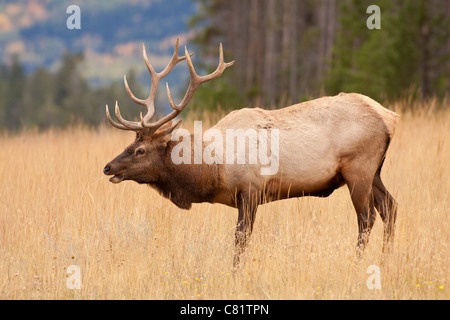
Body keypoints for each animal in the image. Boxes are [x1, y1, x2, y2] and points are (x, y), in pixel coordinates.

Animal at [103, 38, 400, 266]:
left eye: (140, 150)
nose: (108, 167)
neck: (212, 167)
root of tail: (390, 118)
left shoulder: (251, 189)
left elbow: (241, 238)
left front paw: (235, 272)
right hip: (375, 171)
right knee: (391, 207)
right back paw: (385, 260)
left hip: (358, 168)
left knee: (367, 218)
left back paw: (357, 262)